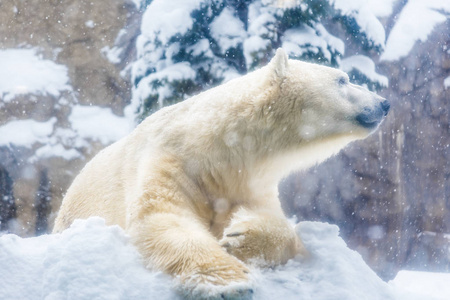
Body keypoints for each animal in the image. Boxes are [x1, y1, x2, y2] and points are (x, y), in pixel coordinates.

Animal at [53, 48, 390, 298]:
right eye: (343, 80)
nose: (384, 103)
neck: (219, 150)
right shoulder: (172, 159)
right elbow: (163, 218)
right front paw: (231, 283)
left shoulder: (249, 181)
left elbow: (278, 226)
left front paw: (239, 236)